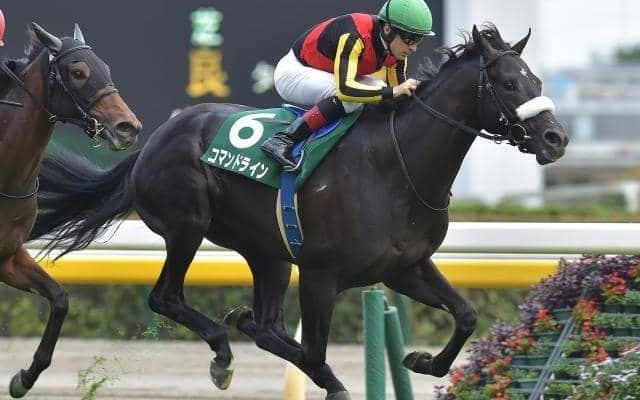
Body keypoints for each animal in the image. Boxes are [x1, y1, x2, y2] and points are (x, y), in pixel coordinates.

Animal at [0, 23, 141, 398]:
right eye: (78, 73)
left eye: (106, 67)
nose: (128, 127)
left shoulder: (8, 257)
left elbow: (60, 299)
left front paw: (24, 378)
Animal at [30, 24, 567, 400]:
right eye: (507, 82)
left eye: (537, 79)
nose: (556, 138)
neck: (396, 165)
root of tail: (154, 139)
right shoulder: (320, 274)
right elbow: (312, 350)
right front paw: (328, 376)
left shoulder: (405, 267)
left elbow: (467, 315)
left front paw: (421, 362)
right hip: (189, 225)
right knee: (168, 298)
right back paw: (224, 351)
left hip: (267, 252)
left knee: (264, 320)